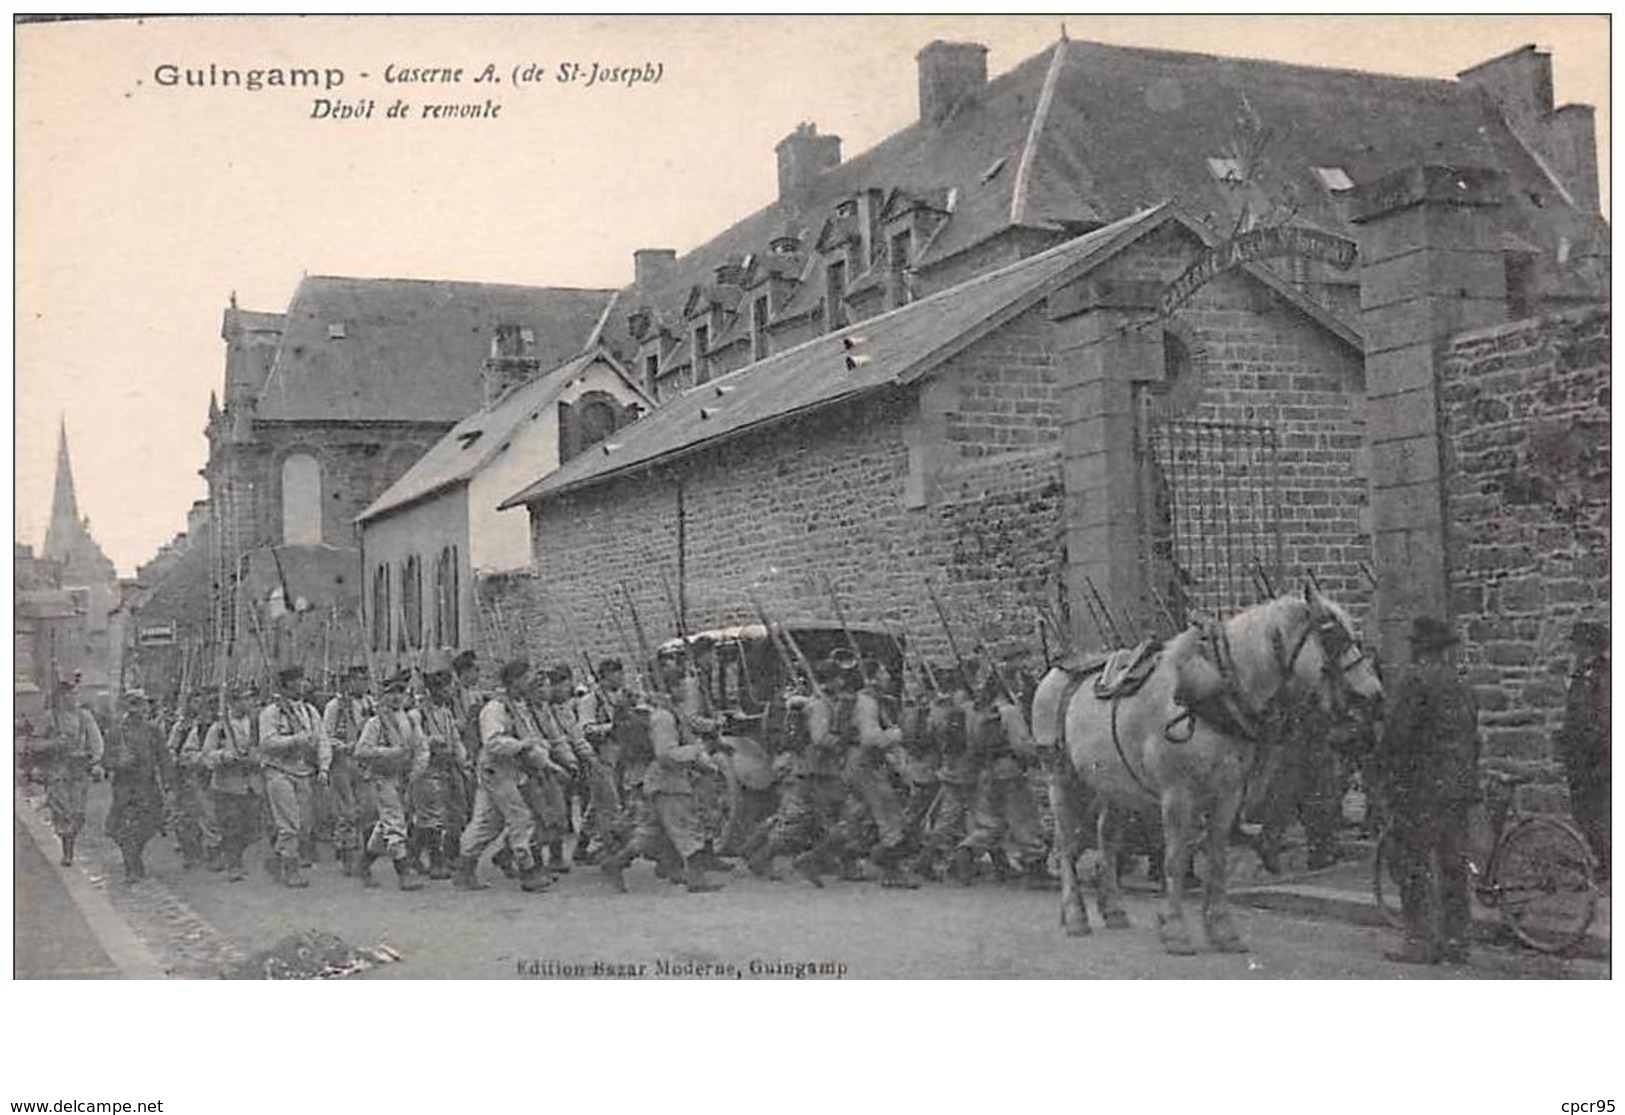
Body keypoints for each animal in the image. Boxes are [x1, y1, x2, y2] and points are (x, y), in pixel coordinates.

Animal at [1033, 588, 1378, 955]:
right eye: (1334, 637)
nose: (1375, 694)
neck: (1210, 694)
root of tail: (1055, 672)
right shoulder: (1177, 794)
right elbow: (1174, 858)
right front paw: (1174, 929)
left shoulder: (1228, 795)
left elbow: (1216, 859)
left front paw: (1222, 930)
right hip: (1060, 778)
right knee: (1067, 841)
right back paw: (1075, 916)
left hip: (1113, 785)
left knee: (1107, 838)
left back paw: (1113, 909)